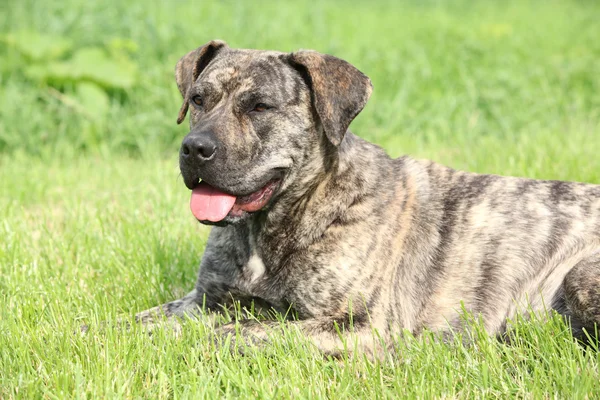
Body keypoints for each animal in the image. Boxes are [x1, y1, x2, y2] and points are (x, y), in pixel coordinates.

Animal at [136, 40, 600, 358]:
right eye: (198, 99)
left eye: (260, 107)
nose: (195, 148)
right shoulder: (202, 300)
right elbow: (135, 321)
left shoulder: (359, 324)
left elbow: (237, 333)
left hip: (580, 275)